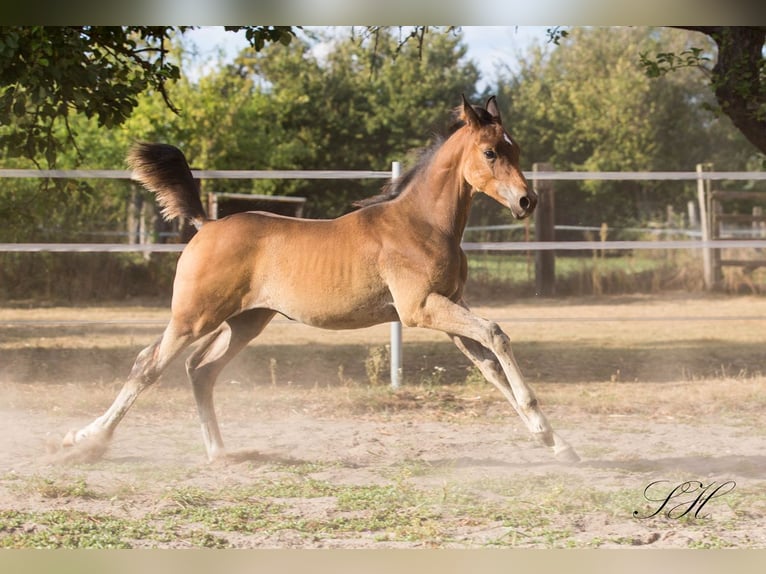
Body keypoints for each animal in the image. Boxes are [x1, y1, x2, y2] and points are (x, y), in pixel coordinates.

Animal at [57, 98, 580, 468]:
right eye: (490, 151)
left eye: (516, 149)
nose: (526, 201)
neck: (422, 223)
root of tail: (207, 224)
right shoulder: (421, 309)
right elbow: (496, 334)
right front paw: (546, 430)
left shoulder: (449, 305)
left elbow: (488, 364)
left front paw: (555, 442)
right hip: (194, 316)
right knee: (148, 365)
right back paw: (85, 441)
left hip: (246, 321)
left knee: (200, 371)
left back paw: (220, 454)